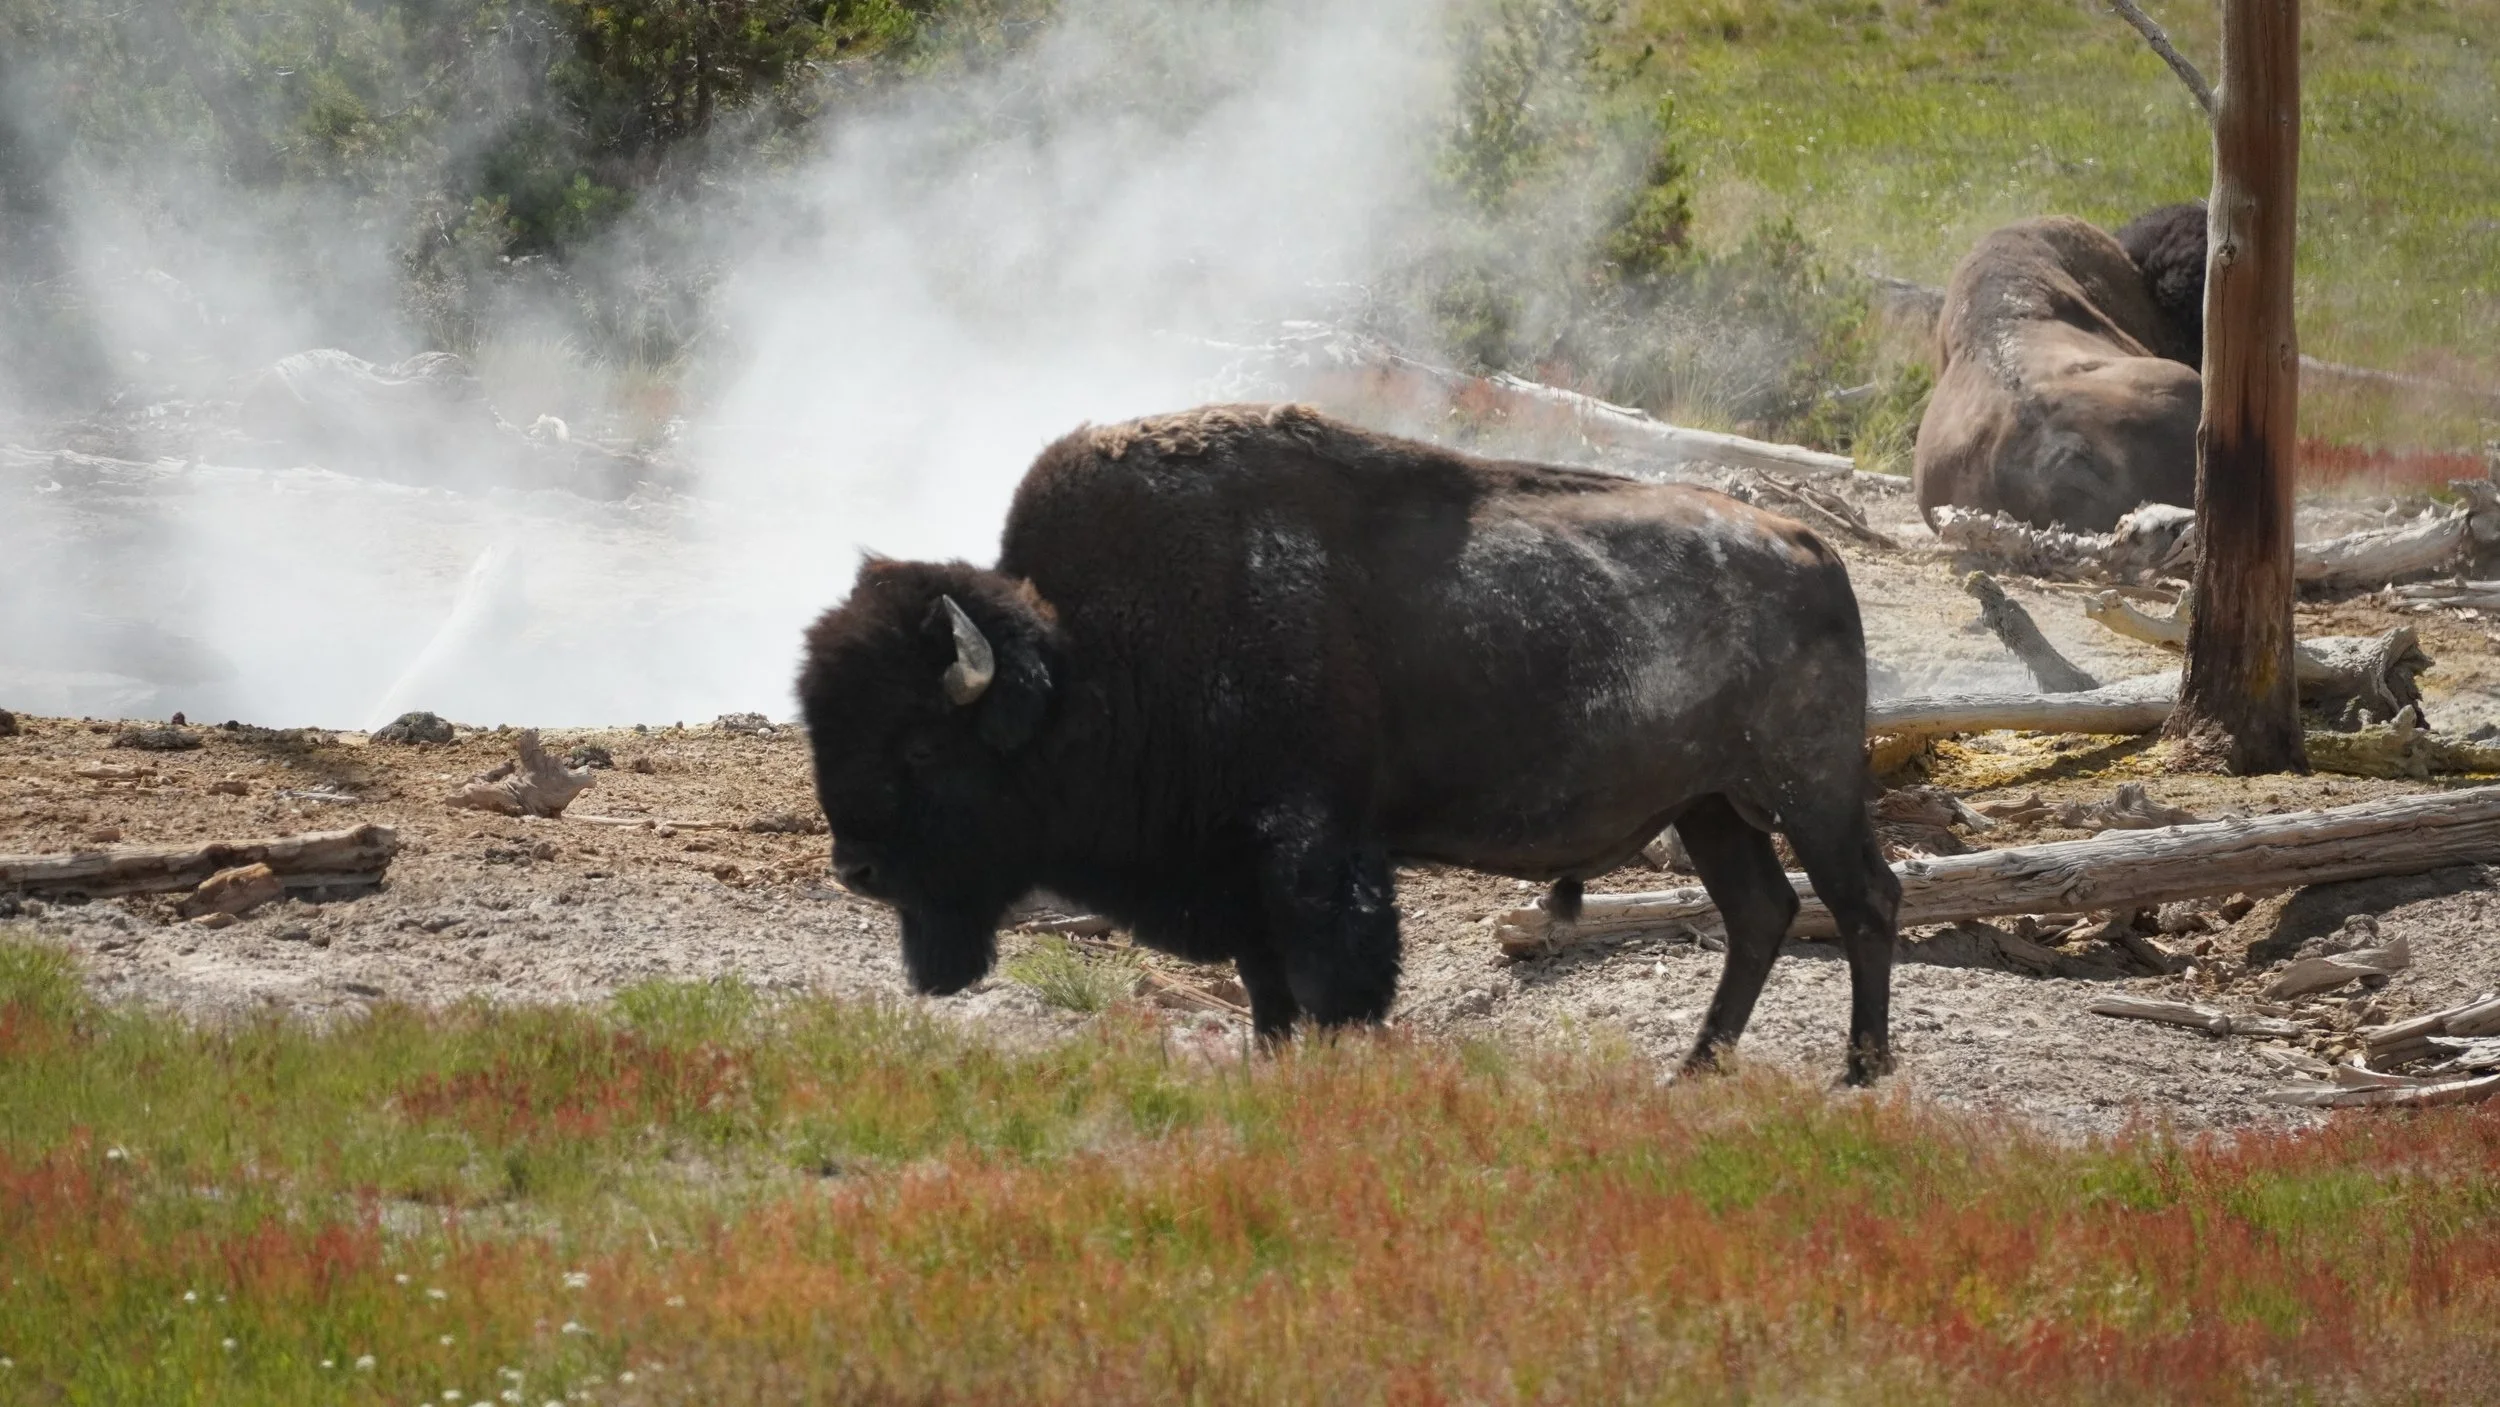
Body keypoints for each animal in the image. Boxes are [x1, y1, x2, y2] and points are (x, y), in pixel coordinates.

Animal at [798, 404, 1902, 1083]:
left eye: (921, 748)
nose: (855, 868)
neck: (1088, 656)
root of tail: (1808, 546)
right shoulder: (1241, 883)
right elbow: (1269, 995)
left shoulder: (1313, 855)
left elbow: (1334, 984)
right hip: (1710, 807)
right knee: (1762, 912)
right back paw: (1695, 1068)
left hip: (1806, 790)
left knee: (1862, 898)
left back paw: (1857, 1070)